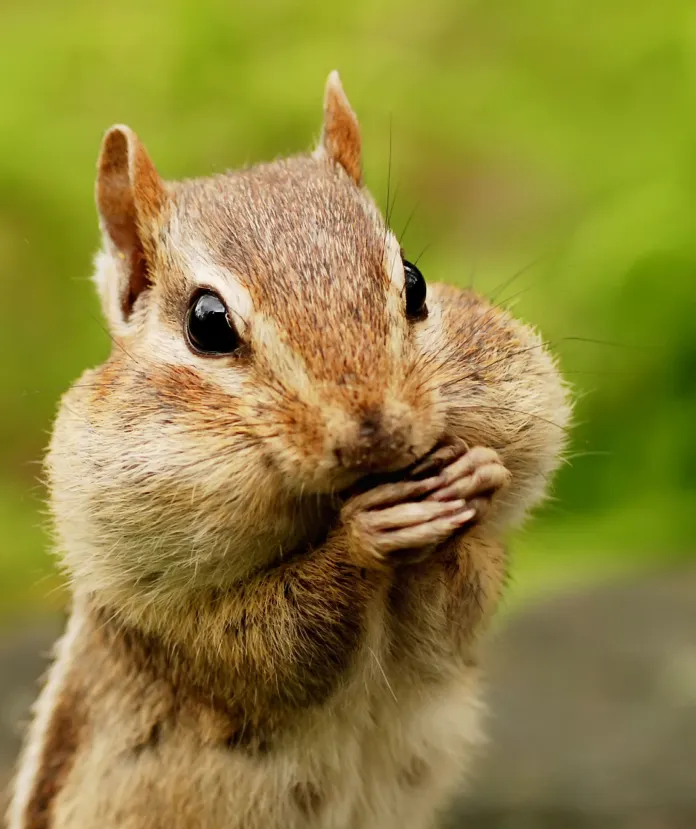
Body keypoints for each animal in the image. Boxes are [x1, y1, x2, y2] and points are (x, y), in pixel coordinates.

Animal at [7, 71, 570, 829]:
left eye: (415, 281)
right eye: (208, 323)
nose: (377, 431)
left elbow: (460, 613)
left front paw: (473, 476)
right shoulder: (165, 612)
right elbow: (273, 645)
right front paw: (364, 536)